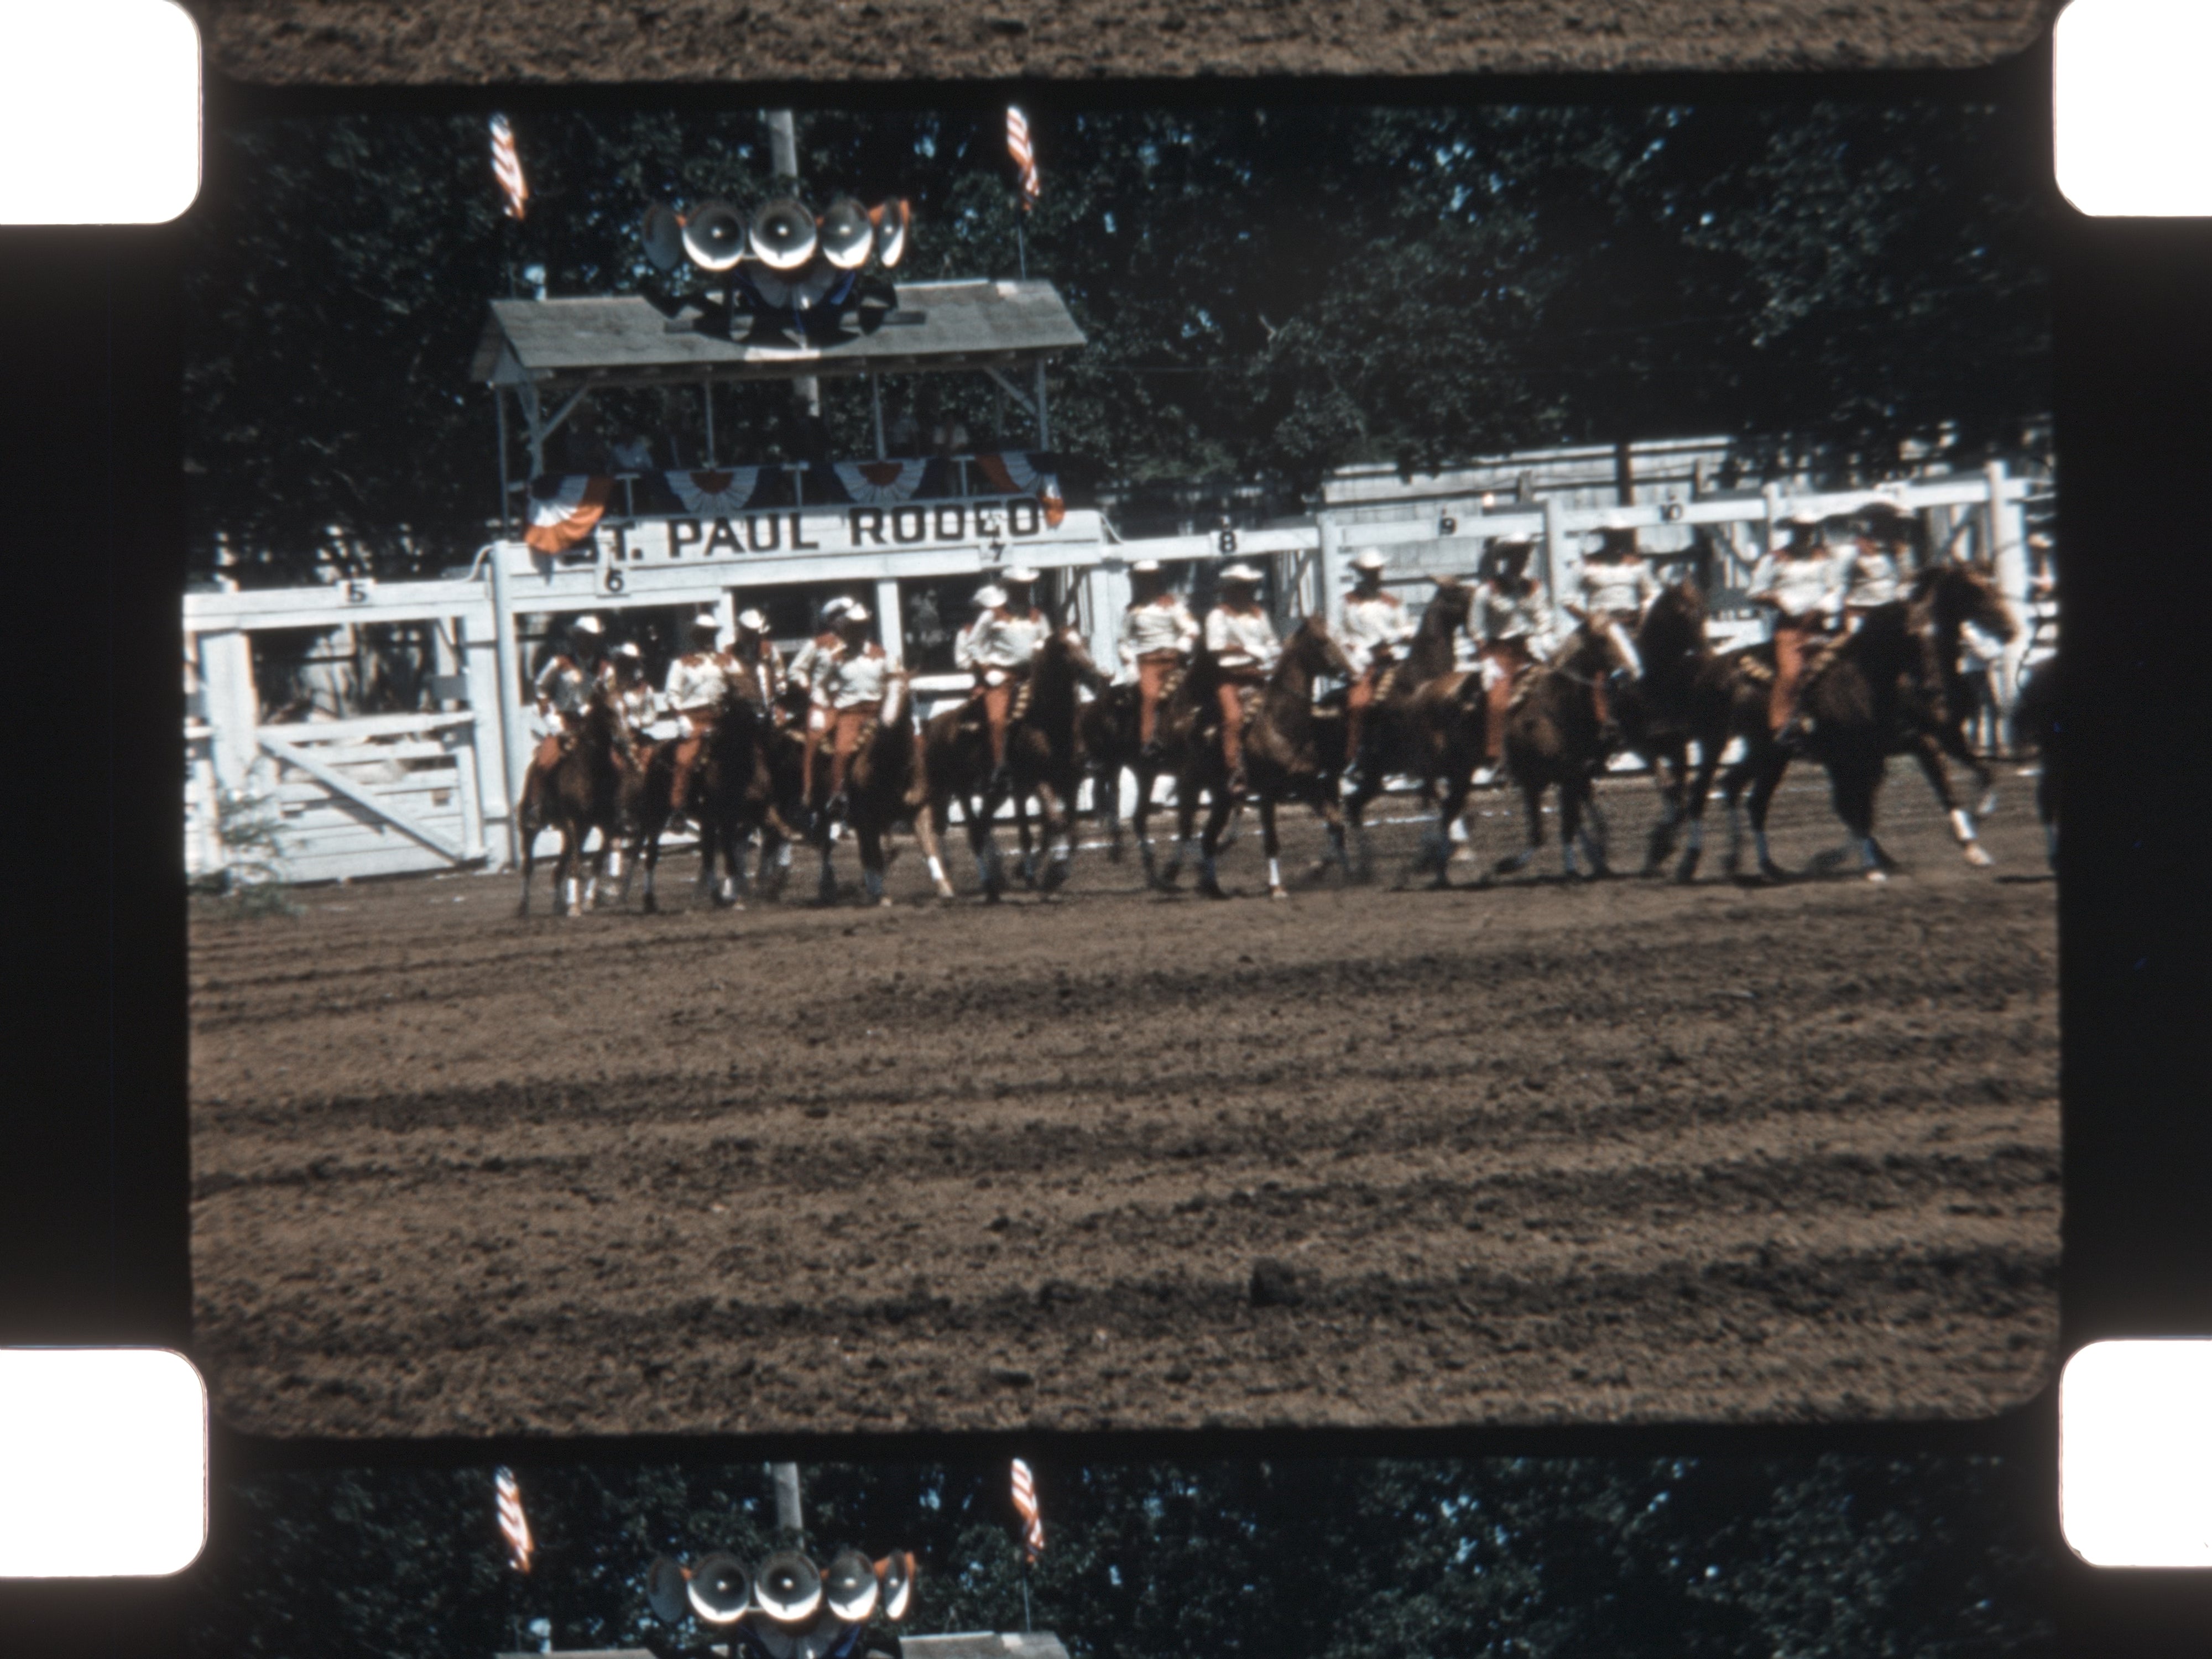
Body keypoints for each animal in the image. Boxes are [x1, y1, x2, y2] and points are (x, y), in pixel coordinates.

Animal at [516, 684, 638, 917]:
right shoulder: (574, 822)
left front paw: (588, 901)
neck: (592, 770)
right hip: (531, 827)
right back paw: (523, 908)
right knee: (528, 865)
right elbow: (576, 863)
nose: (626, 743)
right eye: (608, 710)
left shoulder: (607, 825)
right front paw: (575, 907)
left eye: (627, 709)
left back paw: (558, 905)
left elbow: (597, 861)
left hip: (576, 831)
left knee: (558, 869)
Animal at [908, 625, 1102, 901]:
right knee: (963, 830)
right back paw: (980, 884)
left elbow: (1070, 831)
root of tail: (933, 726)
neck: (1049, 723)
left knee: (975, 826)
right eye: (1063, 647)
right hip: (958, 788)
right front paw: (1051, 874)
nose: (1092, 671)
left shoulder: (1070, 782)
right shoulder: (1036, 780)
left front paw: (1051, 875)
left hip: (990, 791)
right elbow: (1053, 824)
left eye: (1084, 642)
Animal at [1339, 579, 1490, 887]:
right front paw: (1439, 854)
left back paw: (1361, 868)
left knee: (1353, 806)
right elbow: (1438, 801)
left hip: (1375, 774)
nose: (1479, 593)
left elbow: (1442, 802)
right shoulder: (1427, 764)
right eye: (1457, 591)